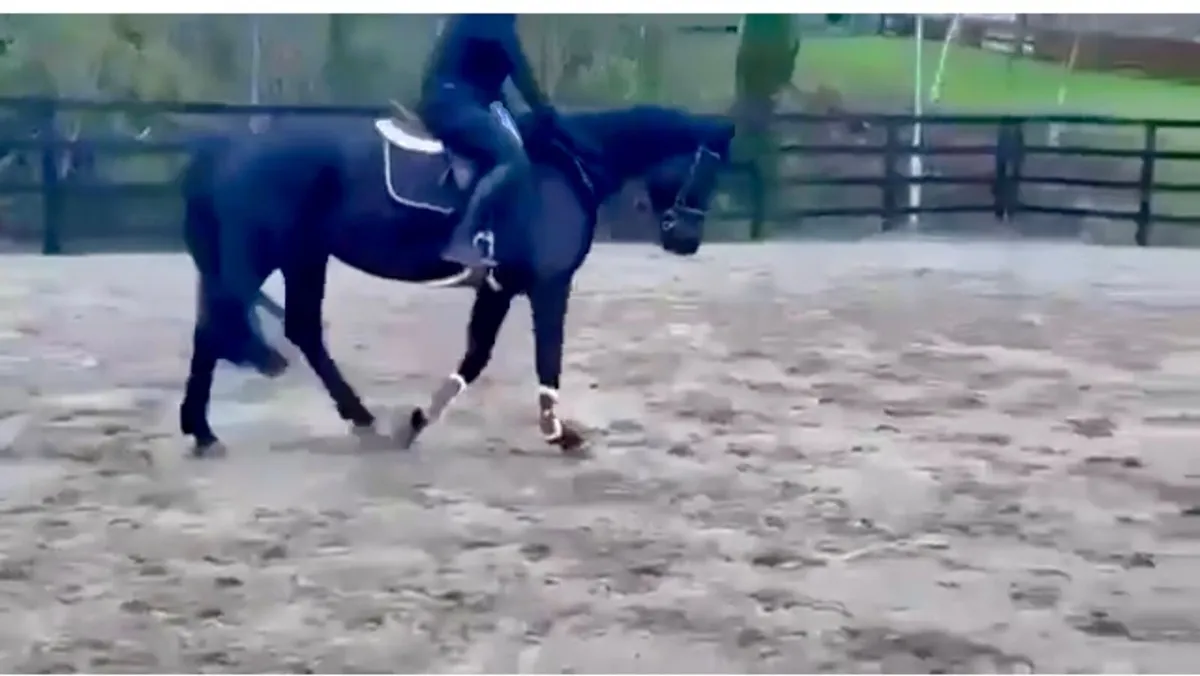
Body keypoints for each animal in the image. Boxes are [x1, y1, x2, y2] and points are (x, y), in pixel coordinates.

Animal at [178, 103, 734, 457]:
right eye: (708, 173)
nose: (687, 241)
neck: (567, 166)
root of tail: (227, 147)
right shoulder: (547, 284)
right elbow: (543, 357)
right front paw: (558, 433)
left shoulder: (500, 286)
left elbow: (477, 356)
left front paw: (417, 421)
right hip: (268, 254)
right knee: (223, 325)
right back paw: (207, 429)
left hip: (304, 256)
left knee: (280, 329)